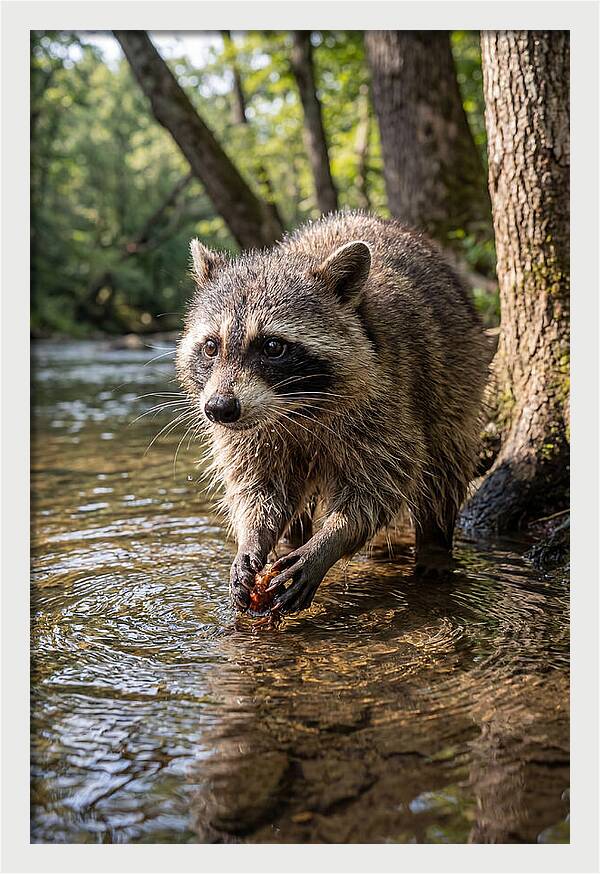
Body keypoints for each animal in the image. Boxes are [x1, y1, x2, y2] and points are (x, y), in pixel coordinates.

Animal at [176, 211, 489, 614]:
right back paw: (292, 538)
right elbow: (259, 486)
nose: (219, 410)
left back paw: (434, 545)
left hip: (457, 376)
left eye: (272, 346)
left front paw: (329, 541)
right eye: (212, 347)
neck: (294, 407)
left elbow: (380, 485)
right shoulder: (250, 431)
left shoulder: (386, 400)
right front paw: (253, 537)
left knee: (443, 468)